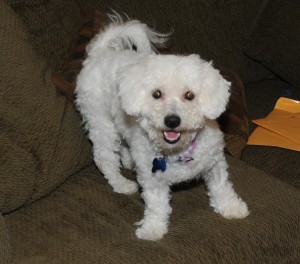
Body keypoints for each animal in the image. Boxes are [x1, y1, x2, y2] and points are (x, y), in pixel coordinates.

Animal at [75, 14, 248, 241]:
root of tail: (100, 51)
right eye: (157, 94)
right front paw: (152, 229)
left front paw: (231, 207)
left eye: (189, 95)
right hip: (101, 123)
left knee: (123, 143)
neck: (177, 152)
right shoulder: (152, 179)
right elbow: (157, 205)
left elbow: (222, 187)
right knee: (105, 158)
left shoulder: (215, 163)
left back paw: (128, 160)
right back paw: (121, 183)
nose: (172, 120)